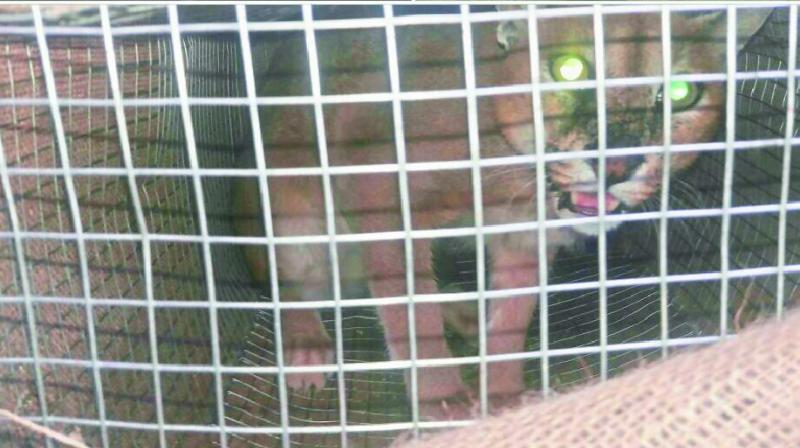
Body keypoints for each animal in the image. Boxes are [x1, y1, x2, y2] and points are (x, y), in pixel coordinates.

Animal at [234, 6, 772, 420]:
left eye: (681, 94)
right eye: (570, 68)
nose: (618, 161)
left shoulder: (526, 240)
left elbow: (512, 318)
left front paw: (505, 397)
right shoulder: (383, 199)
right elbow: (411, 309)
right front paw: (442, 399)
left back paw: (465, 313)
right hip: (291, 210)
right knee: (291, 279)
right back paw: (305, 343)